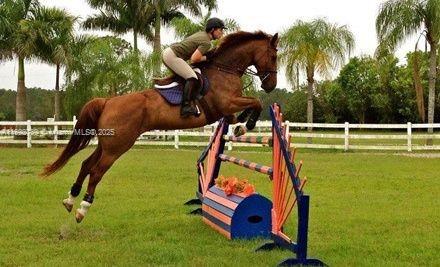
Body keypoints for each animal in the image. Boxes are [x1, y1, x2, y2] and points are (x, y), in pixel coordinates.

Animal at [42, 30, 278, 224]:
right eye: (274, 56)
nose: (271, 86)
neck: (224, 69)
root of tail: (108, 101)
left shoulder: (227, 111)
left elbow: (244, 111)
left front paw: (242, 127)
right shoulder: (227, 104)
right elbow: (256, 102)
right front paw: (248, 124)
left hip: (107, 143)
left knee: (86, 164)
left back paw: (70, 200)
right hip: (117, 146)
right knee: (97, 171)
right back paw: (83, 208)